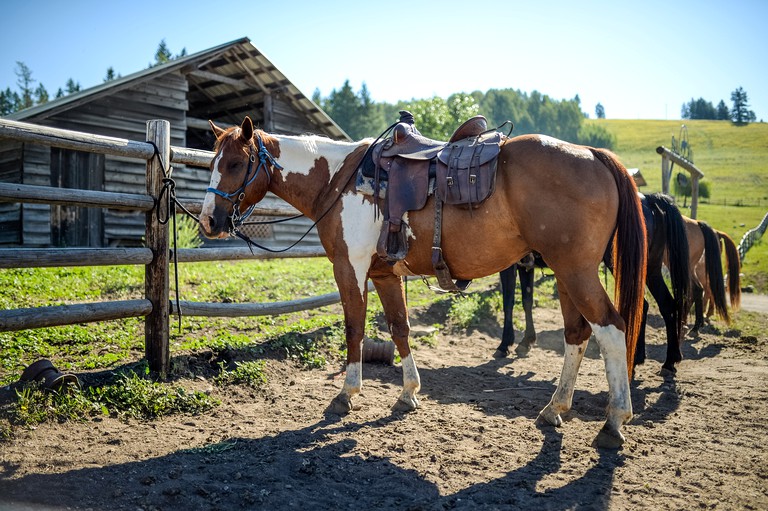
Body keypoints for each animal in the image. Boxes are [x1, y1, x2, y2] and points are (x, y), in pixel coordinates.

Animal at [200, 116, 648, 448]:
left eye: (235, 164)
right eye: (212, 163)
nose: (209, 221)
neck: (338, 181)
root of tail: (594, 154)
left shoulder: (349, 267)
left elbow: (354, 329)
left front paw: (347, 394)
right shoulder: (384, 274)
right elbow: (399, 328)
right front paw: (408, 393)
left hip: (576, 271)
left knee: (611, 330)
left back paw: (613, 422)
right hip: (565, 273)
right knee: (577, 334)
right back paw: (555, 409)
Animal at [496, 192, 692, 376]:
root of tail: (649, 199)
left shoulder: (508, 266)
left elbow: (508, 302)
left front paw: (505, 344)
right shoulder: (525, 266)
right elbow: (527, 301)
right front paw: (526, 341)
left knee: (647, 305)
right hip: (651, 269)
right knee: (662, 305)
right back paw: (663, 360)